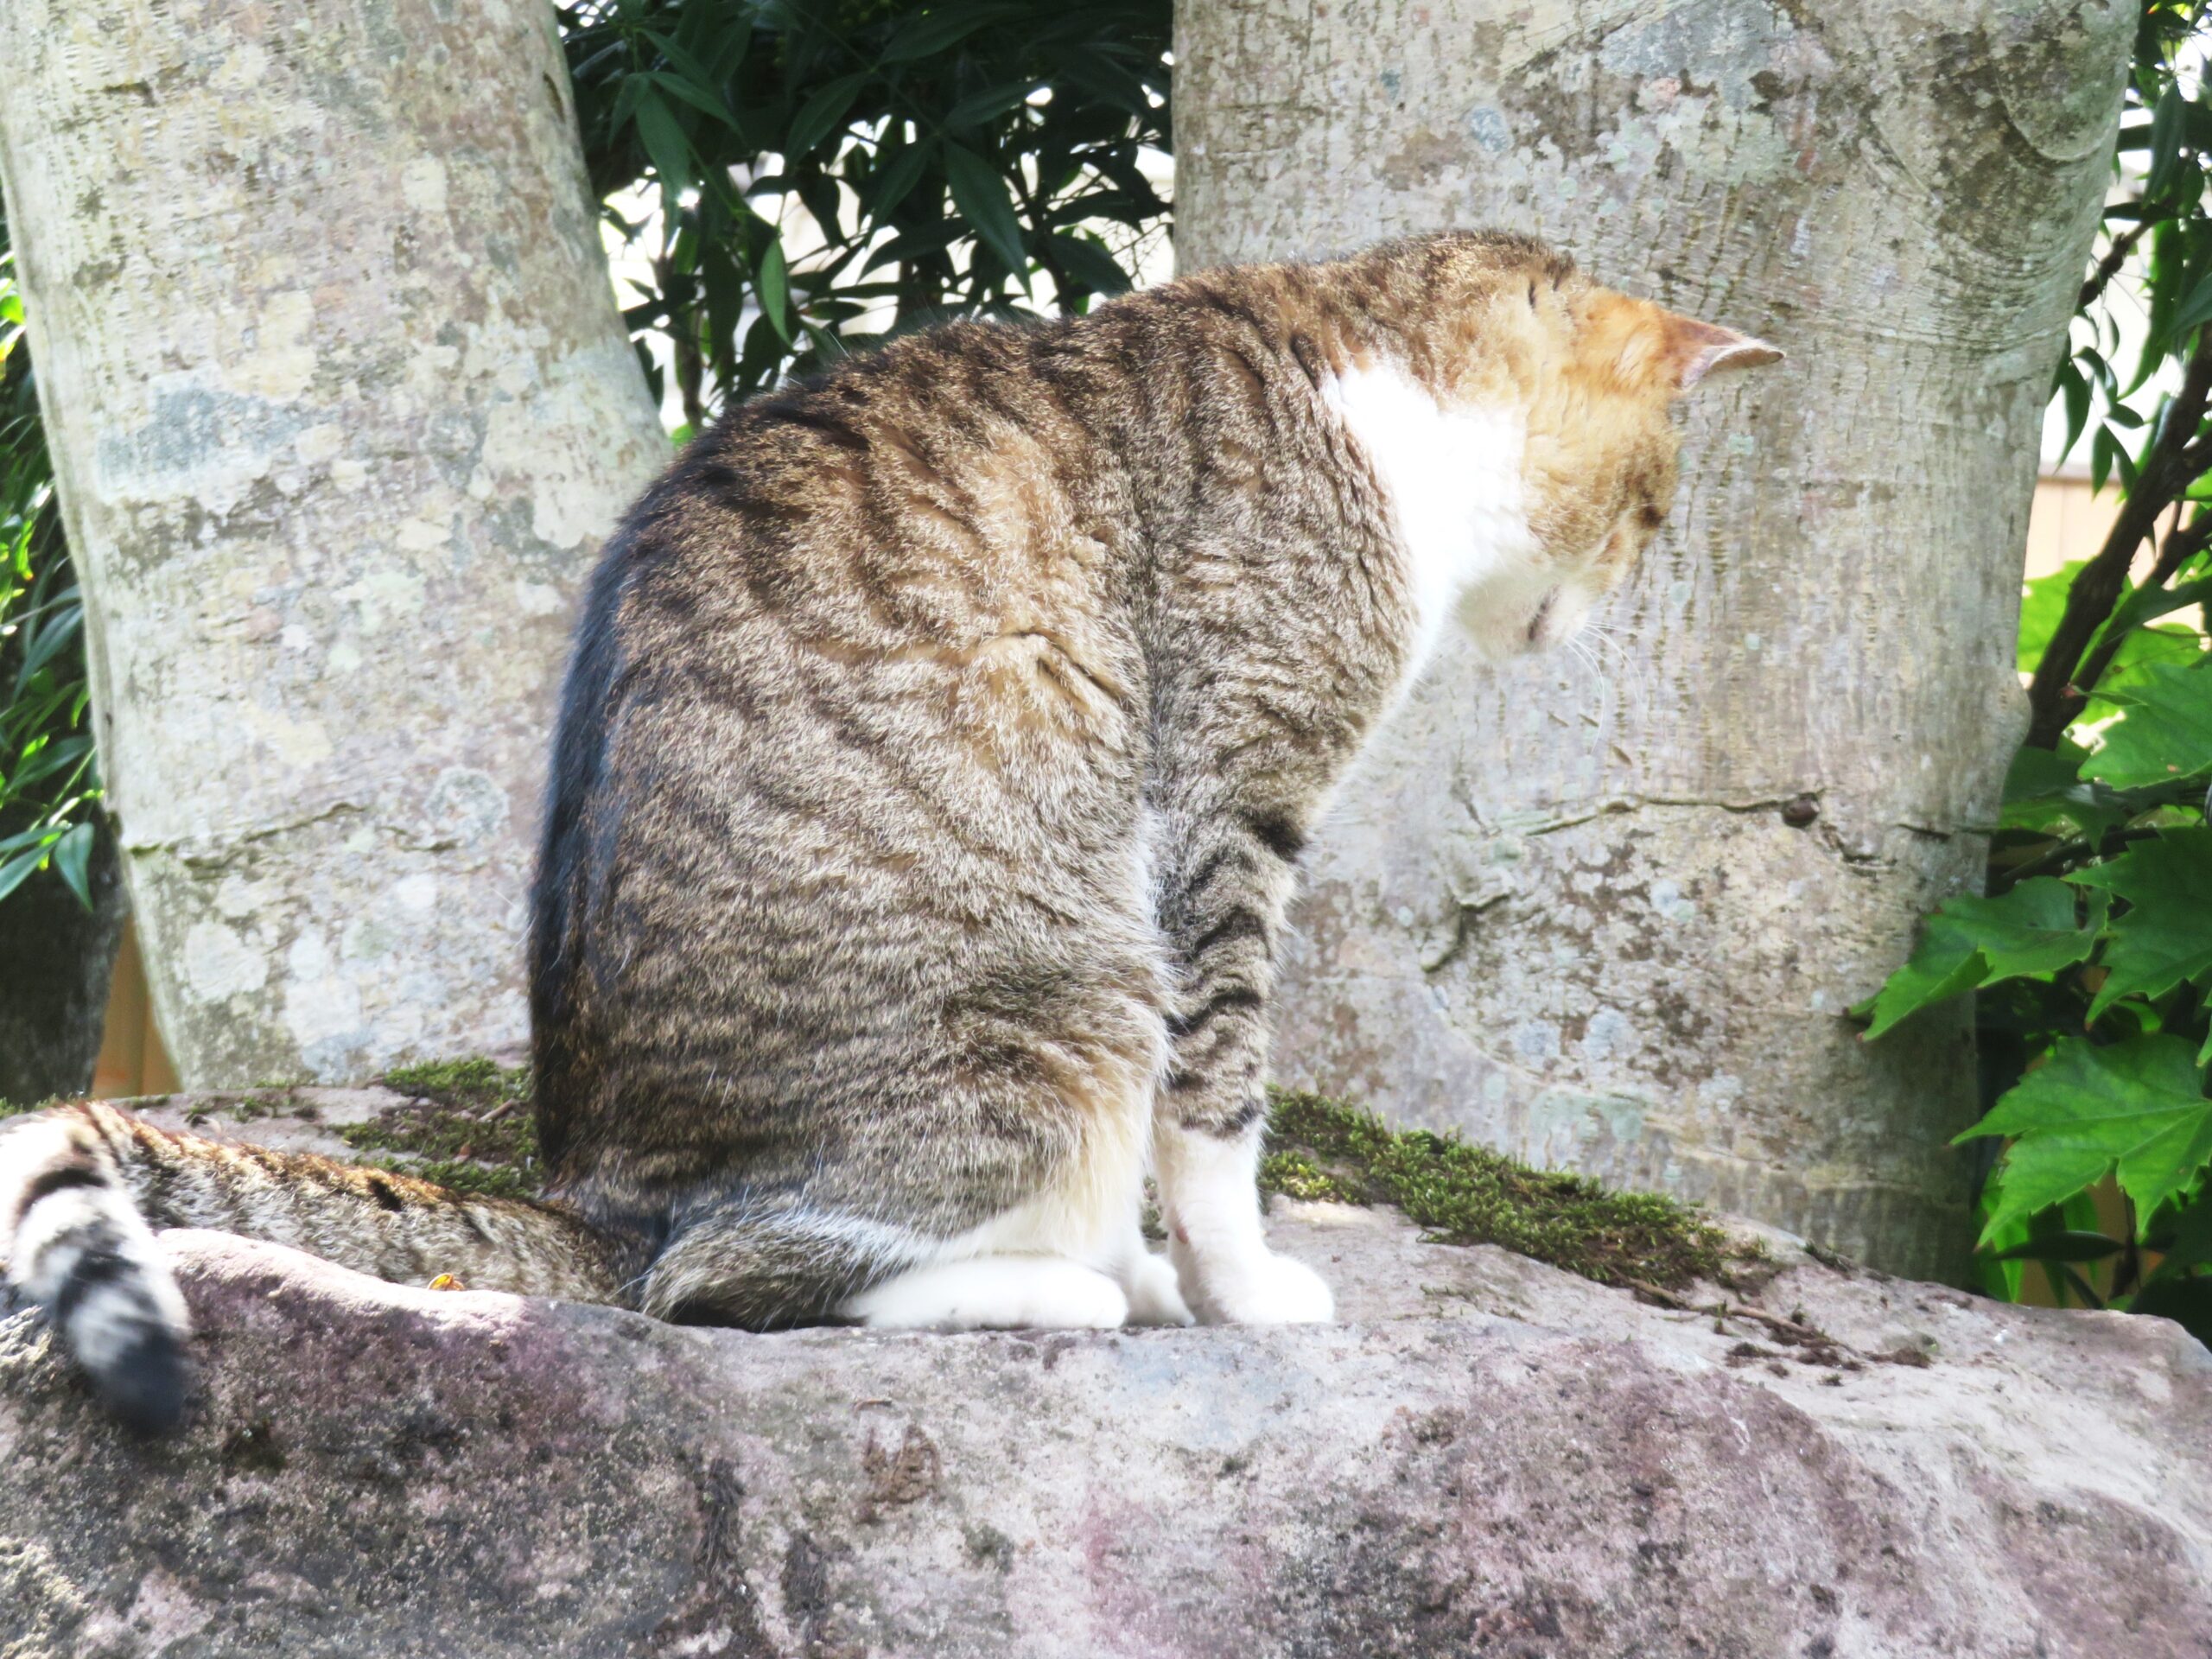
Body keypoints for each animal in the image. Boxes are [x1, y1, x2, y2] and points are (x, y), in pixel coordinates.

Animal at [0, 227, 1770, 1433]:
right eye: (1655, 516)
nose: (1592, 628)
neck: (1367, 387)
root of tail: (598, 1202)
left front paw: (1192, 1273)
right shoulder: (1225, 812)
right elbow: (1222, 1105)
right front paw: (1242, 1285)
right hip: (1071, 1009)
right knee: (727, 1288)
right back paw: (1072, 1284)